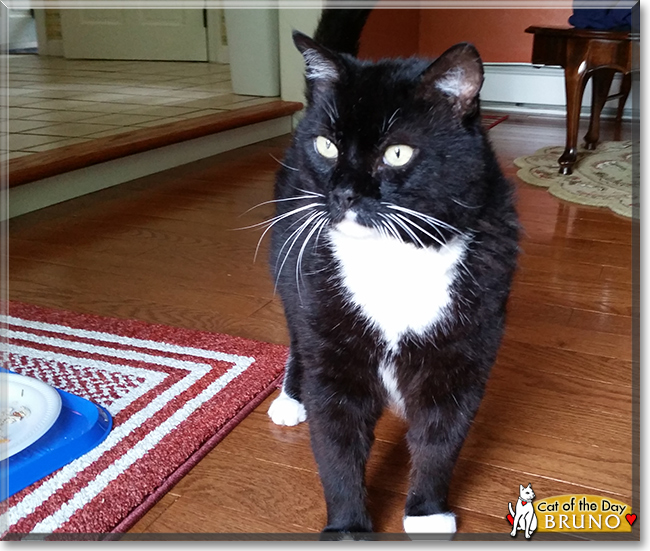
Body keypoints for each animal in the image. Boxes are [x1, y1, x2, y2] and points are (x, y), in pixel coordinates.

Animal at [264, 8, 516, 540]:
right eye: (327, 146)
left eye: (398, 153)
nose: (343, 193)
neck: (394, 255)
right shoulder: (330, 342)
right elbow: (336, 444)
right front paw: (347, 528)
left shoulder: (462, 354)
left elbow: (441, 437)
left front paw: (426, 513)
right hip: (295, 277)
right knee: (297, 335)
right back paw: (291, 398)